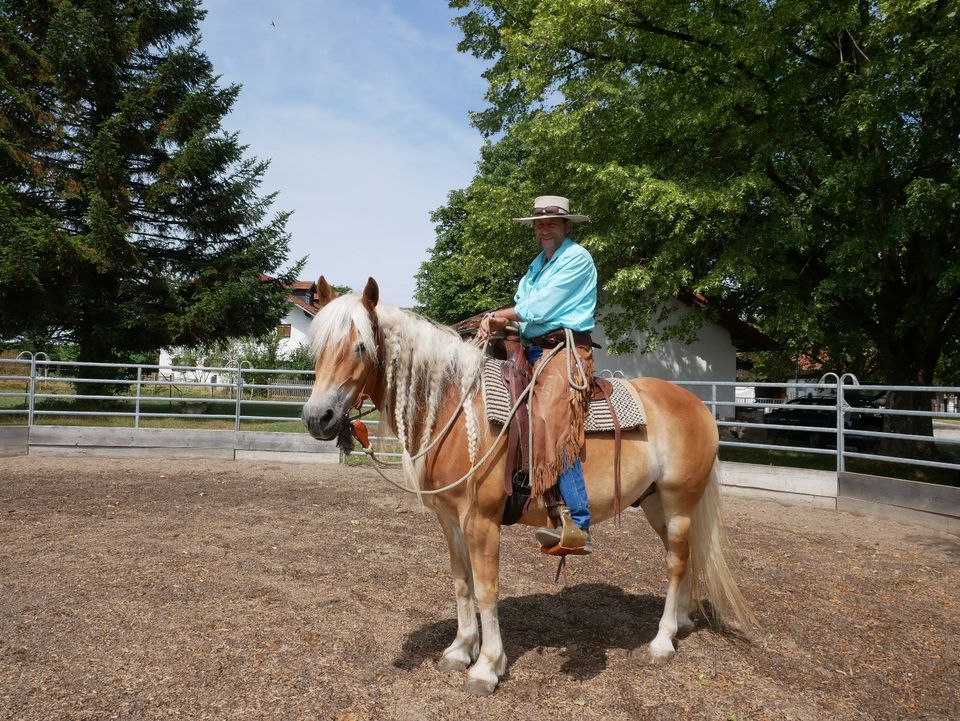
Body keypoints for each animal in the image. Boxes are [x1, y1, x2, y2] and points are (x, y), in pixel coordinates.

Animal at [304, 274, 752, 692]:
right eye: (317, 348)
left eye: (361, 347)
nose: (316, 417)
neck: (457, 408)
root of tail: (698, 406)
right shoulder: (450, 520)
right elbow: (461, 582)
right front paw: (460, 650)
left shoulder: (481, 521)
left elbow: (486, 589)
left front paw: (487, 666)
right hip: (657, 504)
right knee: (685, 558)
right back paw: (682, 623)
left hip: (679, 502)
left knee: (675, 563)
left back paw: (662, 642)